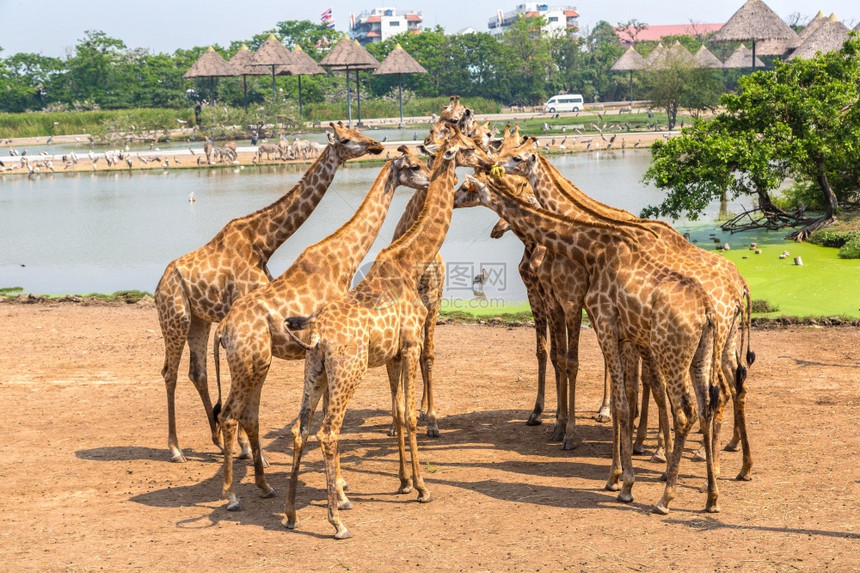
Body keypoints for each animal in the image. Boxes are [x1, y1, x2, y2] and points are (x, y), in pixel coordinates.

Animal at [155, 123, 382, 462]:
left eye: (358, 130)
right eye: (345, 139)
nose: (377, 145)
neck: (264, 242)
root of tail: (159, 286)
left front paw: (242, 446)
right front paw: (248, 448)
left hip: (199, 320)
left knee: (197, 372)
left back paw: (215, 440)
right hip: (175, 317)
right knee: (169, 372)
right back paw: (175, 448)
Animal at [212, 147, 434, 510]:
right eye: (414, 166)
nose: (430, 180)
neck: (345, 256)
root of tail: (223, 330)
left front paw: (340, 488)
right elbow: (330, 417)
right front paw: (341, 492)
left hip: (257, 364)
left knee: (247, 416)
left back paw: (265, 486)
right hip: (248, 364)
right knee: (230, 415)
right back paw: (231, 495)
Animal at [286, 130, 494, 536]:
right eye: (467, 145)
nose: (489, 162)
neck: (408, 260)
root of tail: (318, 336)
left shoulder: (393, 354)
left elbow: (397, 413)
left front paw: (403, 481)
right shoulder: (411, 345)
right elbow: (410, 416)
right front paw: (423, 487)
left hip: (313, 373)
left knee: (300, 430)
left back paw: (289, 514)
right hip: (347, 373)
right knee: (328, 432)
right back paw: (337, 519)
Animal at [454, 178, 724, 512]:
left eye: (465, 189)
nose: (450, 200)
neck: (593, 251)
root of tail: (707, 311)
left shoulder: (603, 324)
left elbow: (620, 402)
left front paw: (623, 483)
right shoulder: (619, 333)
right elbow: (623, 397)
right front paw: (615, 474)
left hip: (671, 354)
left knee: (685, 411)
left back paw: (665, 496)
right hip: (701, 354)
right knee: (706, 406)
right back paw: (711, 496)